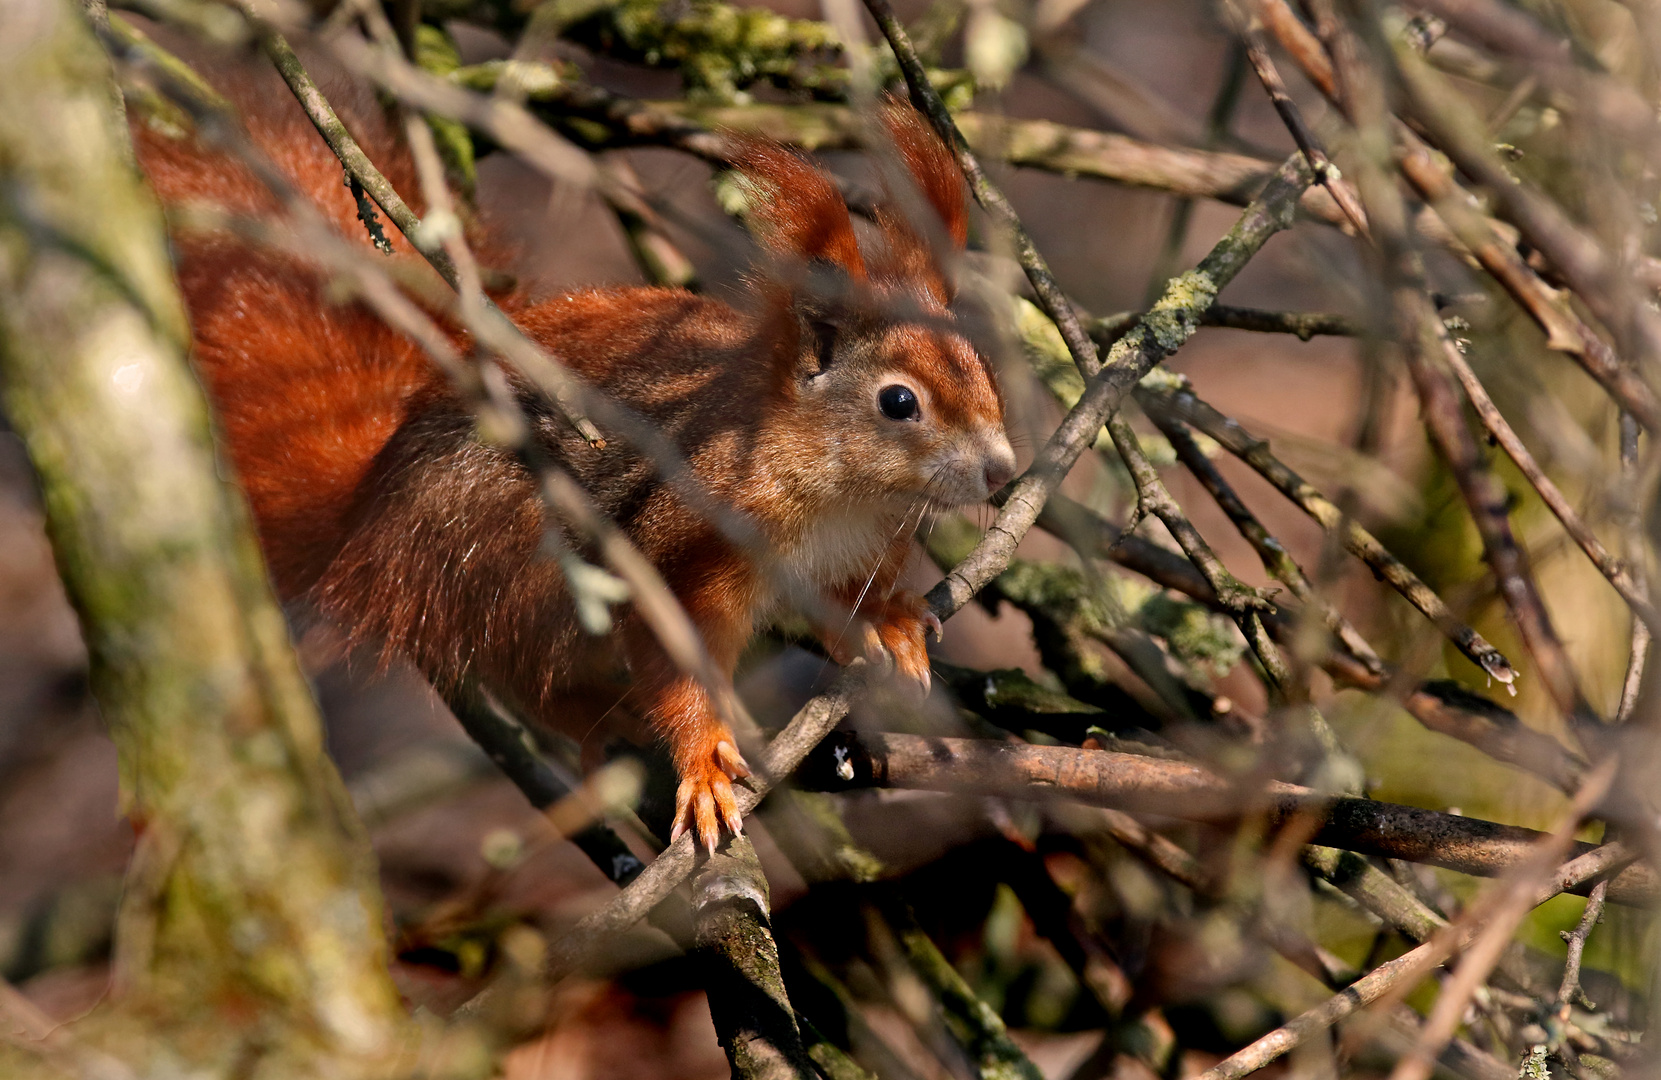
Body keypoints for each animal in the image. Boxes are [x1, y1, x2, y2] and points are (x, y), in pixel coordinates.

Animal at [132, 77, 1009, 850]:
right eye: (898, 403)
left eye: (981, 367)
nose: (999, 471)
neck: (842, 494)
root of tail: (369, 519)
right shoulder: (681, 552)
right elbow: (674, 660)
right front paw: (703, 761)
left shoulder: (858, 549)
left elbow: (842, 604)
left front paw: (889, 621)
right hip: (510, 563)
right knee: (525, 673)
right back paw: (599, 716)